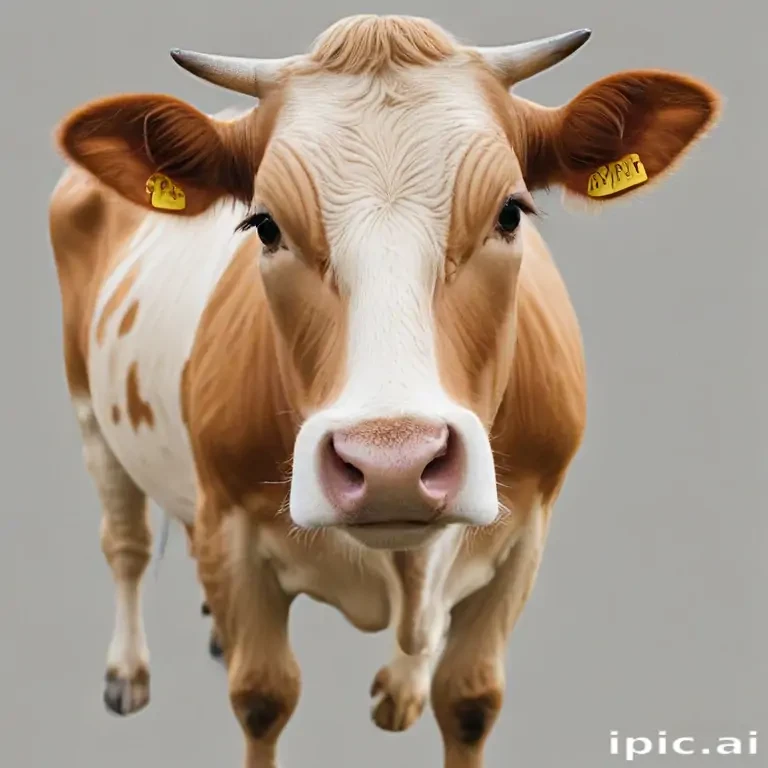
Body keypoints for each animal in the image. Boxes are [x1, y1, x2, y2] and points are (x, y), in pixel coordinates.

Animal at [48, 14, 720, 768]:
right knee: (126, 544)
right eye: (265, 225)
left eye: (511, 213)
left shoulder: (528, 530)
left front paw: (411, 688)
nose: (392, 463)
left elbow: (469, 699)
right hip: (89, 410)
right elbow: (262, 696)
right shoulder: (231, 523)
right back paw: (127, 673)